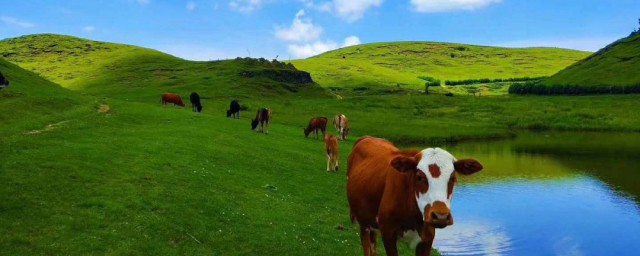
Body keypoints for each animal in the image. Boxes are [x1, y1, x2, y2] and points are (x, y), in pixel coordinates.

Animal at [348, 137, 482, 255]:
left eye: (453, 178)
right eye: (419, 177)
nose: (441, 216)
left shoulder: (428, 237)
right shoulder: (388, 232)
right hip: (363, 222)